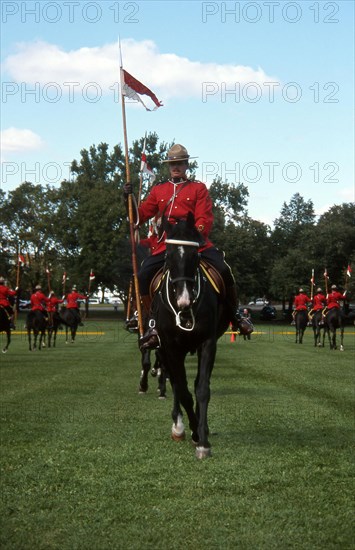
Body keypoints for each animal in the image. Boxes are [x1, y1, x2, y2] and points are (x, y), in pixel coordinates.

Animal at [153, 216, 231, 462]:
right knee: (176, 383)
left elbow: (202, 389)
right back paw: (178, 426)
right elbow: (183, 390)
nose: (184, 300)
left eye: (195, 256)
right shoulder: (170, 346)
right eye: (167, 256)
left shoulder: (207, 343)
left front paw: (203, 439)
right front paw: (194, 431)